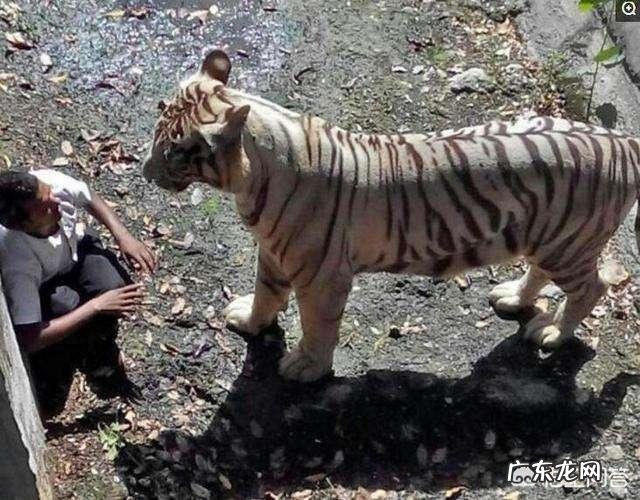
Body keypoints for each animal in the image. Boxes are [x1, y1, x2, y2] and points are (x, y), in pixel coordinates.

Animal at [142, 49, 640, 382]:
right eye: (157, 130)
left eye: (175, 152)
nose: (145, 172)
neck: (252, 180)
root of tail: (624, 140)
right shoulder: (273, 252)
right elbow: (266, 293)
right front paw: (248, 320)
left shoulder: (322, 275)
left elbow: (318, 324)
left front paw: (306, 366)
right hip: (543, 236)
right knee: (540, 272)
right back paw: (513, 298)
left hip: (571, 244)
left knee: (592, 287)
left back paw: (552, 332)